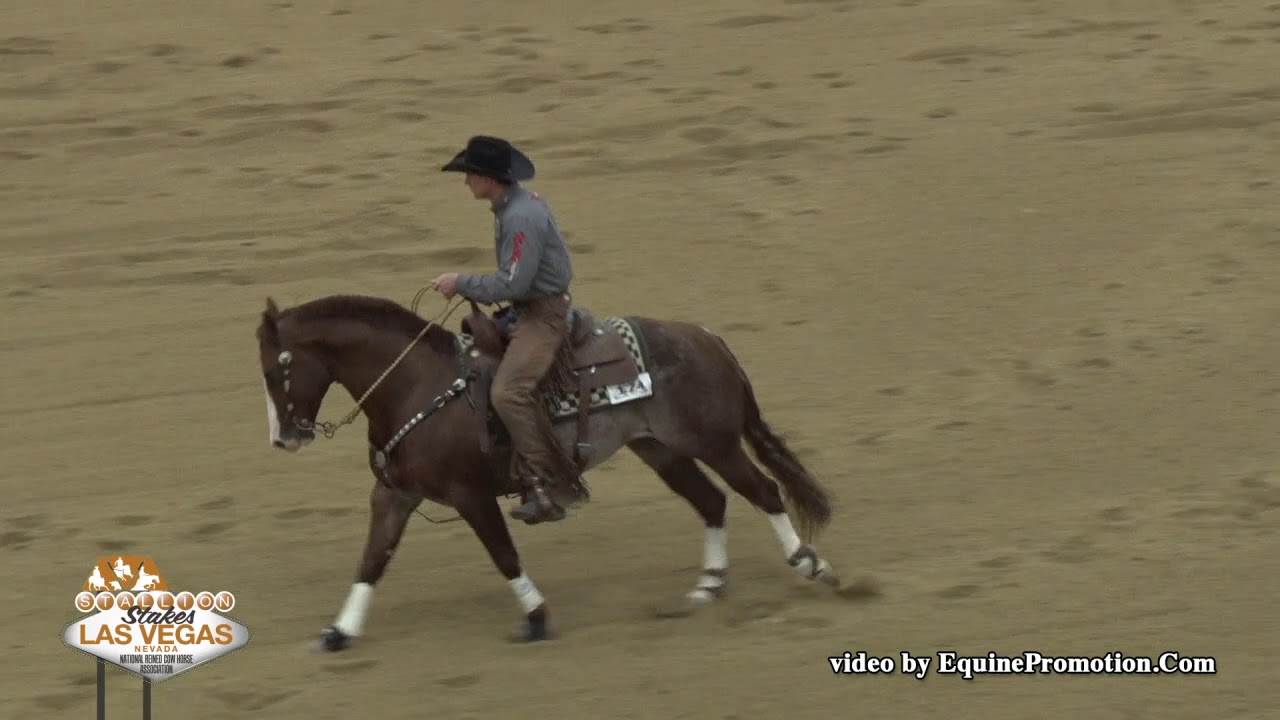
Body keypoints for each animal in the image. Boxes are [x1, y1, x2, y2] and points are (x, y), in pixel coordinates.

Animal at [255, 293, 842, 648]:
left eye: (276, 367)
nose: (284, 438)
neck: (418, 386)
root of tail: (707, 337)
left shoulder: (471, 495)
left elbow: (503, 554)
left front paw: (536, 618)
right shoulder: (394, 495)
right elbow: (374, 558)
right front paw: (340, 631)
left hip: (715, 443)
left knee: (764, 491)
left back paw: (809, 564)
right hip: (662, 451)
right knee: (713, 502)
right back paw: (708, 585)